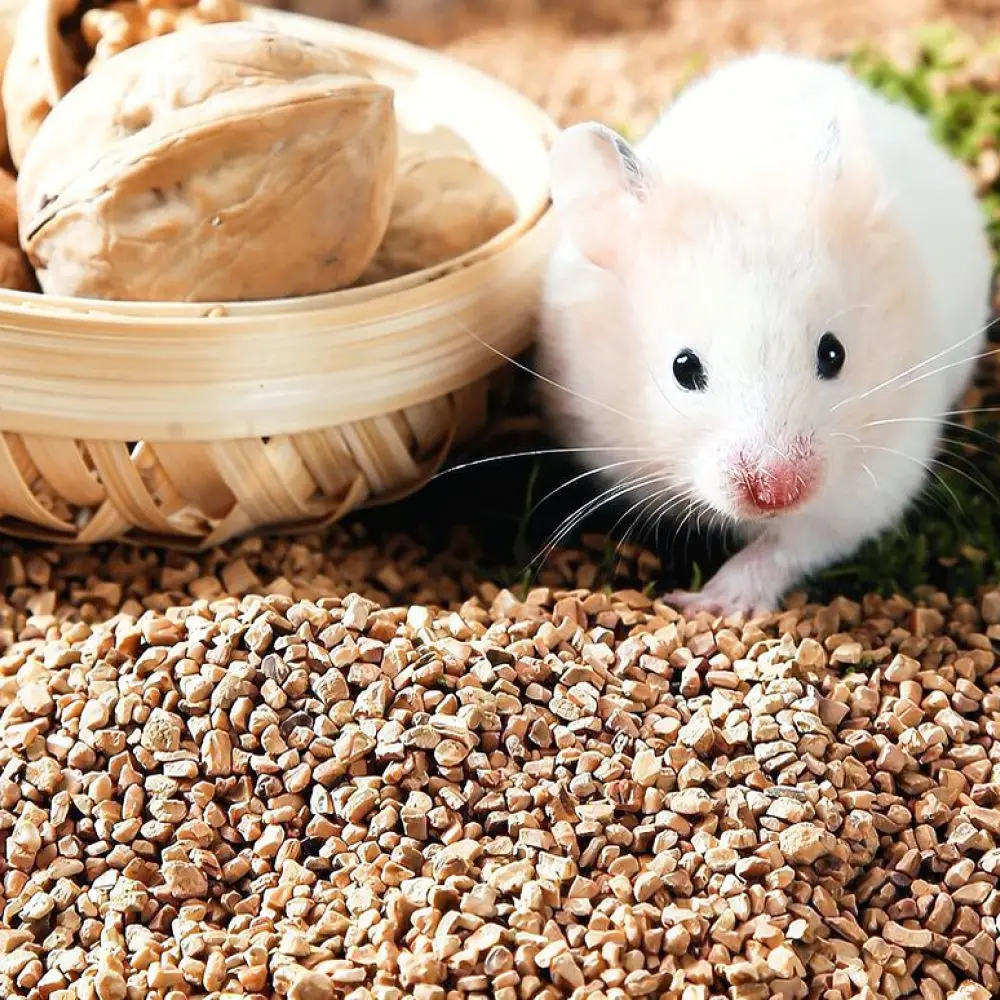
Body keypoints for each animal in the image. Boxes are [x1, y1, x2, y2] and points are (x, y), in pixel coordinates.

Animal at [538, 51, 994, 616]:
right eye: (683, 368)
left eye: (834, 354)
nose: (779, 492)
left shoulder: (879, 474)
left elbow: (786, 545)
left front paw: (706, 603)